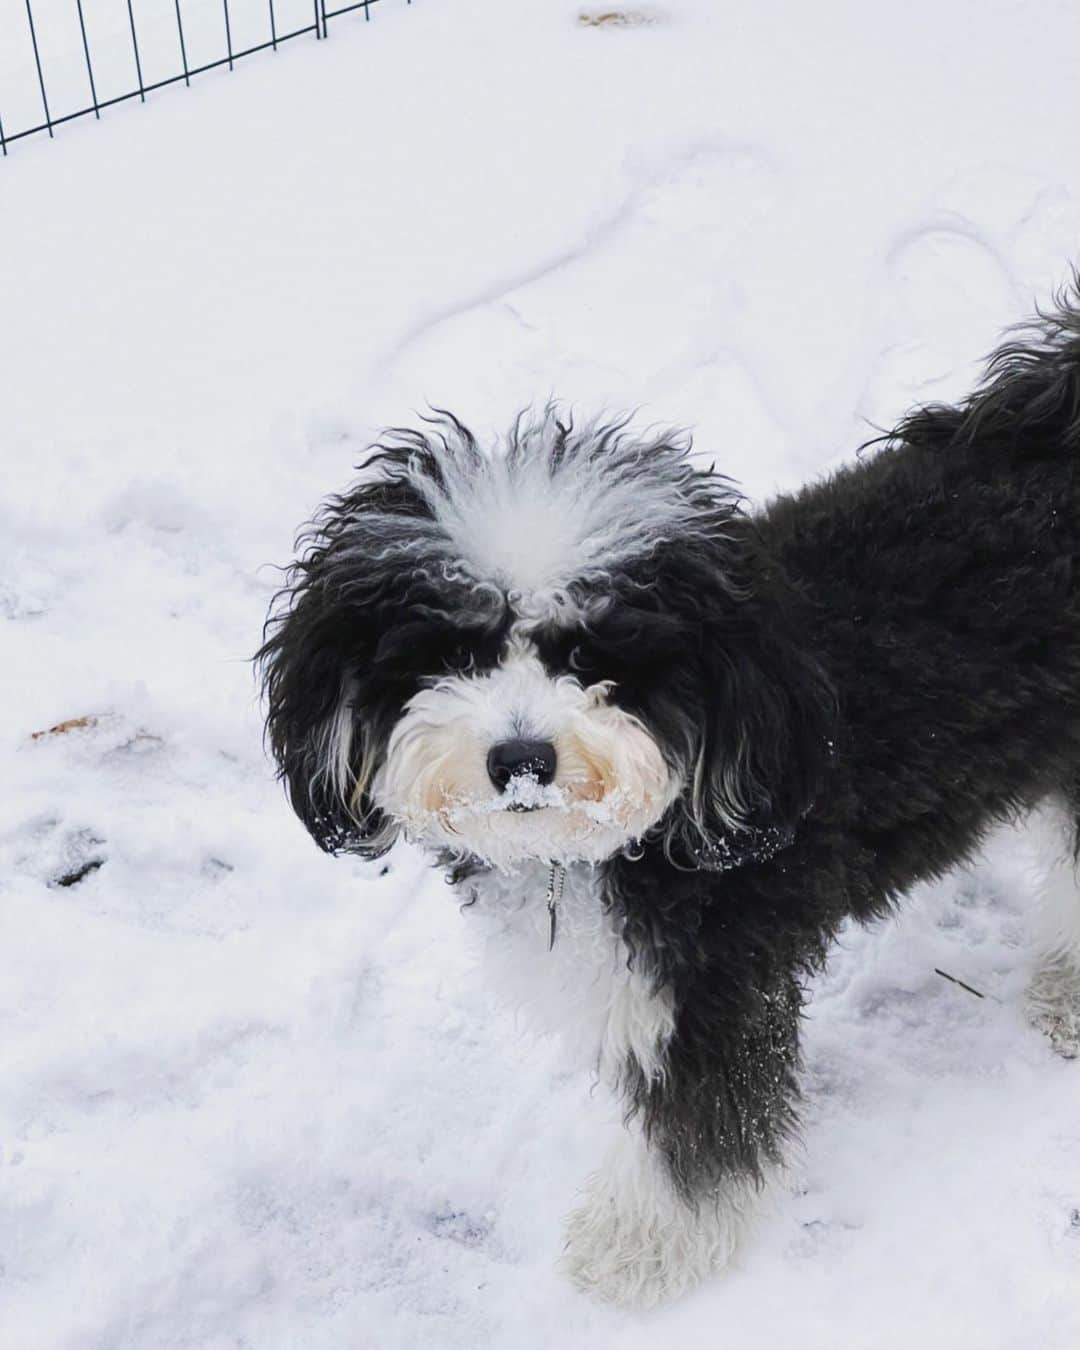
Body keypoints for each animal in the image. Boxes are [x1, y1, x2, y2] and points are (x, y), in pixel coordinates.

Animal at [255, 287, 1080, 1306]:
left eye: (590, 654)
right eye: (451, 648)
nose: (522, 758)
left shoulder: (710, 984)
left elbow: (691, 1141)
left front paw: (635, 1254)